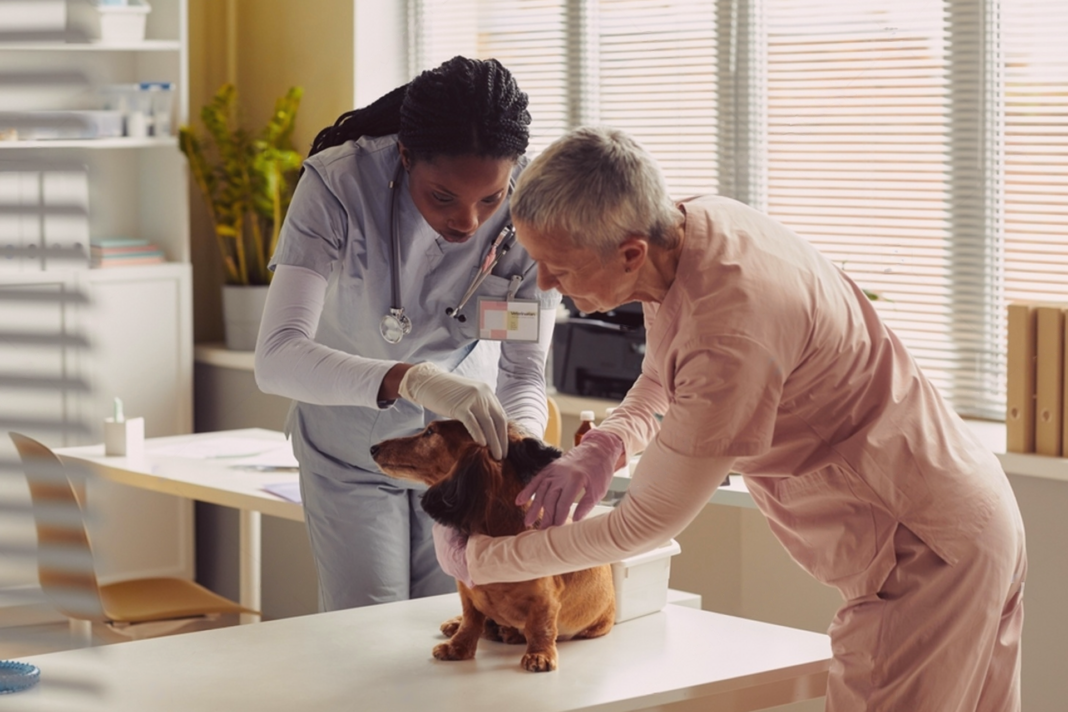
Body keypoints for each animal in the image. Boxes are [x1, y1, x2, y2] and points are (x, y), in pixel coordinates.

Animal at [371, 420, 615, 678]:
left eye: (430, 432)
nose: (373, 448)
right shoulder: (467, 592)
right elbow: (470, 621)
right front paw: (458, 647)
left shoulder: (545, 600)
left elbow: (540, 627)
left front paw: (540, 654)